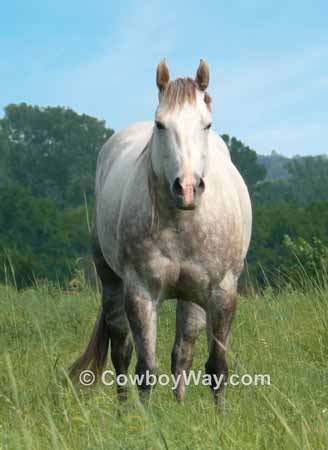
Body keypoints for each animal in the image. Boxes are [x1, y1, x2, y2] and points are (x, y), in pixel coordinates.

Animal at [70, 59, 252, 408]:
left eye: (207, 125)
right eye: (161, 125)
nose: (187, 188)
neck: (183, 221)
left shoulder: (222, 293)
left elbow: (216, 366)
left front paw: (220, 417)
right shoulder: (141, 292)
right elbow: (145, 368)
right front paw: (144, 419)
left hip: (192, 296)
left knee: (183, 352)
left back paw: (179, 404)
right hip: (111, 283)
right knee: (121, 351)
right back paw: (123, 409)